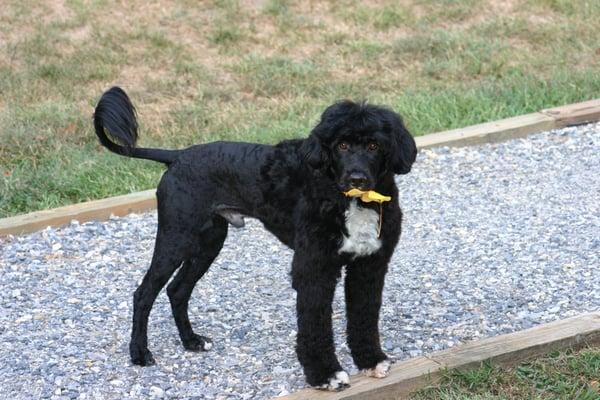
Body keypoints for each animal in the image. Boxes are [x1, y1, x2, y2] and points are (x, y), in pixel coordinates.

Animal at [92, 87, 418, 390]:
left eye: (374, 145)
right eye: (342, 144)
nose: (356, 179)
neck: (350, 201)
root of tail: (179, 156)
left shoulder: (369, 266)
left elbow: (364, 316)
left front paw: (371, 360)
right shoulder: (314, 268)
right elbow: (315, 326)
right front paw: (325, 375)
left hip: (209, 241)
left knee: (177, 290)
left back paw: (192, 341)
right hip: (176, 236)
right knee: (144, 293)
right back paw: (139, 353)